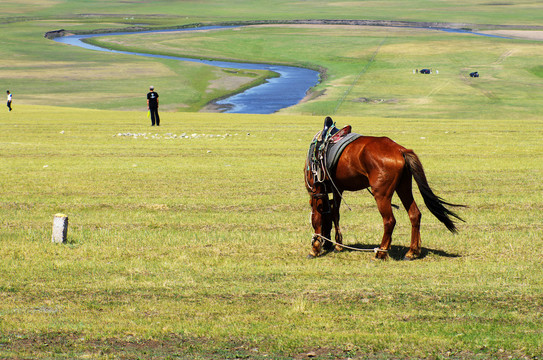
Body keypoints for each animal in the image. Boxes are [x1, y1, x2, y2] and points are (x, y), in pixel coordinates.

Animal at [306, 128, 464, 260]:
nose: (326, 245)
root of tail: (400, 149)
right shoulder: (337, 189)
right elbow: (334, 214)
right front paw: (338, 245)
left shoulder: (316, 191)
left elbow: (317, 218)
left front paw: (315, 249)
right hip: (403, 188)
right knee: (414, 214)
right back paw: (412, 252)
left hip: (381, 195)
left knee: (389, 221)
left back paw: (381, 253)